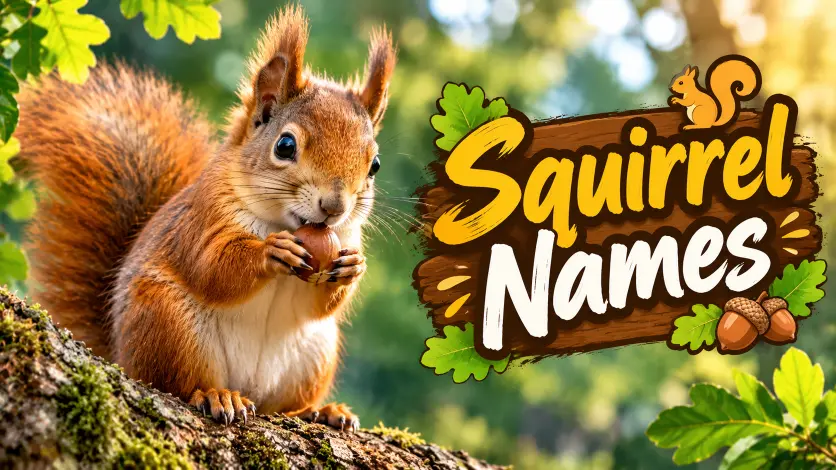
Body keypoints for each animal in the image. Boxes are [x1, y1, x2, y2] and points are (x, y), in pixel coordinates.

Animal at [14, 5, 395, 430]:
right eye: (285, 145)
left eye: (375, 165)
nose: (334, 208)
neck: (282, 222)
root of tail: (121, 354)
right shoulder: (201, 219)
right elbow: (210, 267)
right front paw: (270, 252)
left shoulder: (345, 238)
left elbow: (323, 305)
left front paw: (352, 267)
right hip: (168, 323)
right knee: (177, 383)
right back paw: (216, 395)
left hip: (315, 352)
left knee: (281, 406)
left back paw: (320, 411)